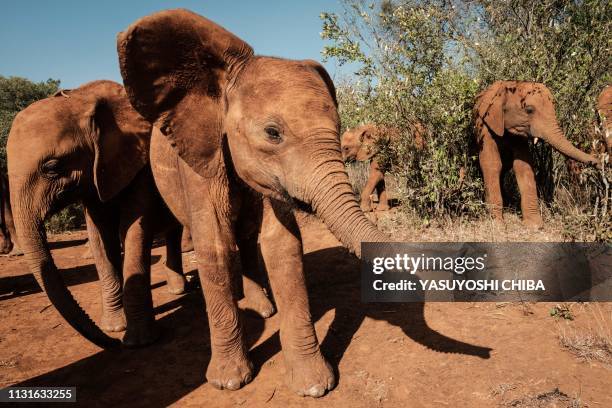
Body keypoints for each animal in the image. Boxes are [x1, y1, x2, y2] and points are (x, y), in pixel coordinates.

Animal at [117, 9, 384, 396]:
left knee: (244, 237)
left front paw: (314, 386)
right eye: (273, 133)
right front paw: (229, 382)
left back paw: (262, 309)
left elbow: (281, 243)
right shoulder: (201, 156)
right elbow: (214, 246)